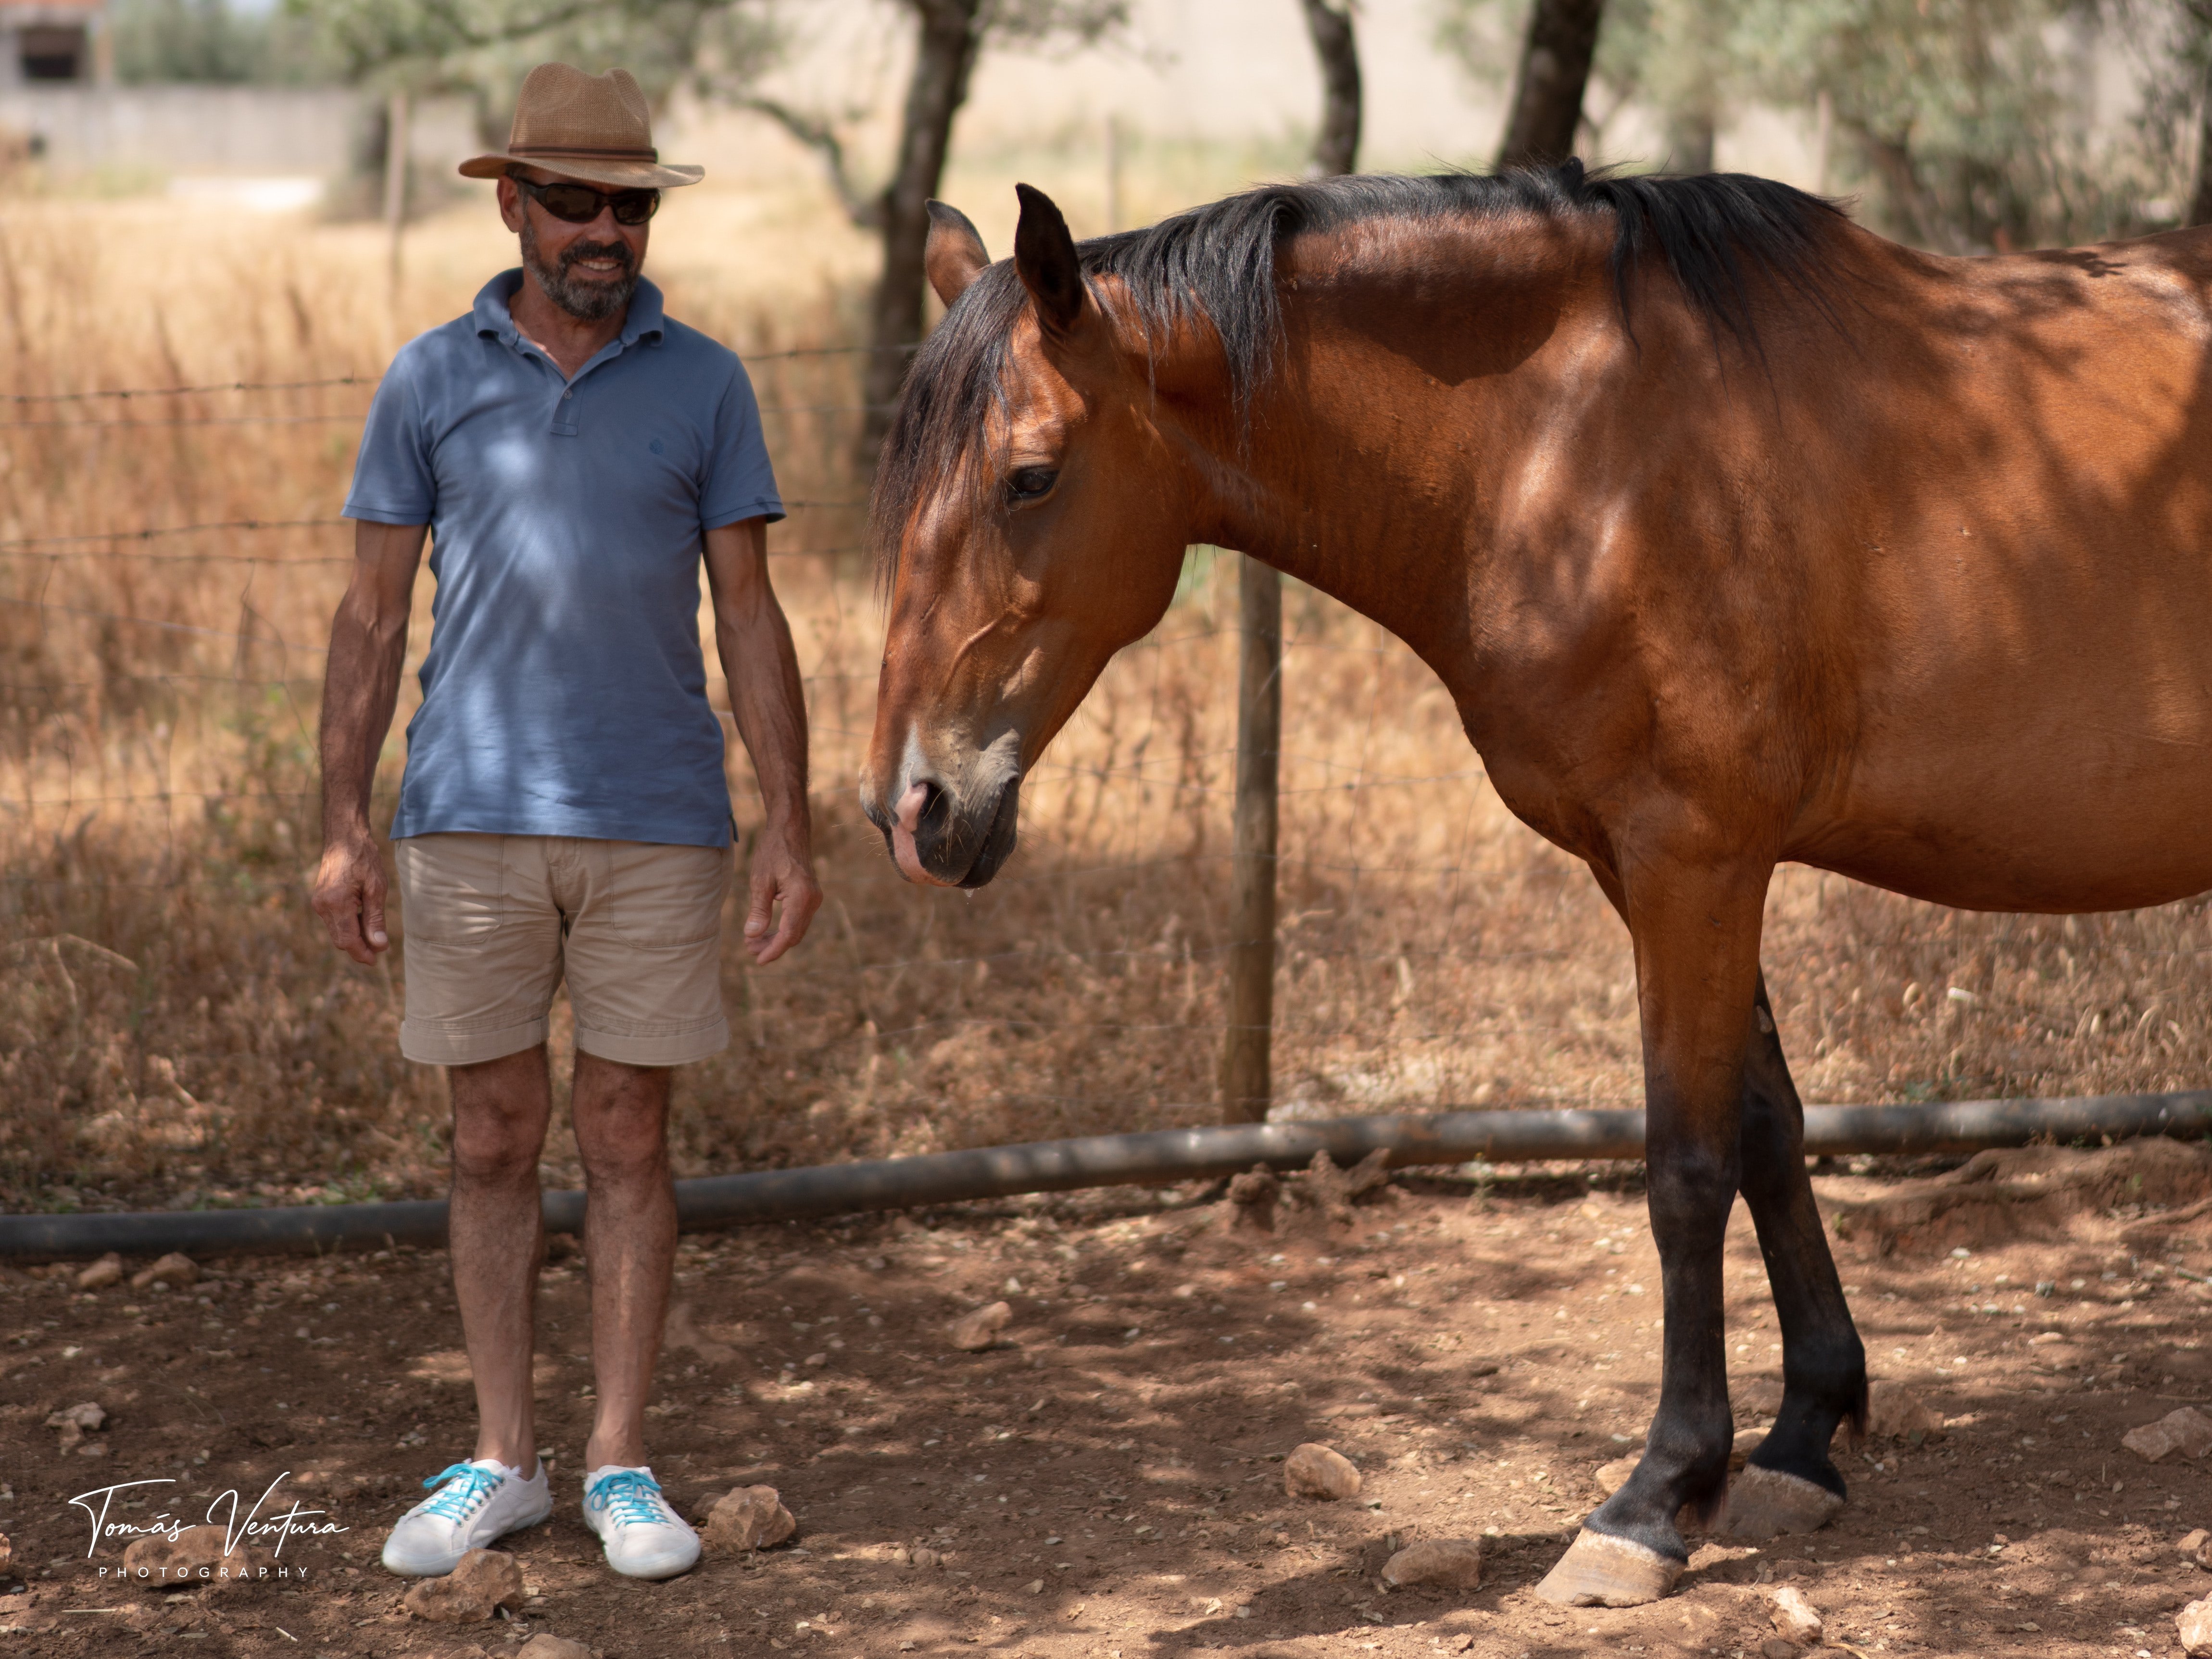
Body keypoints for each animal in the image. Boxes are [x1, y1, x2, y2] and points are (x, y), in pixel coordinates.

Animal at [857, 163, 2212, 1606]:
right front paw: (1800, 1438)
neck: (1581, 448)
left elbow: (1687, 1166)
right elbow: (1769, 1128)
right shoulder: (1652, 868)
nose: (912, 807)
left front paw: (1656, 1499)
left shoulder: (1694, 859)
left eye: (1029, 476)